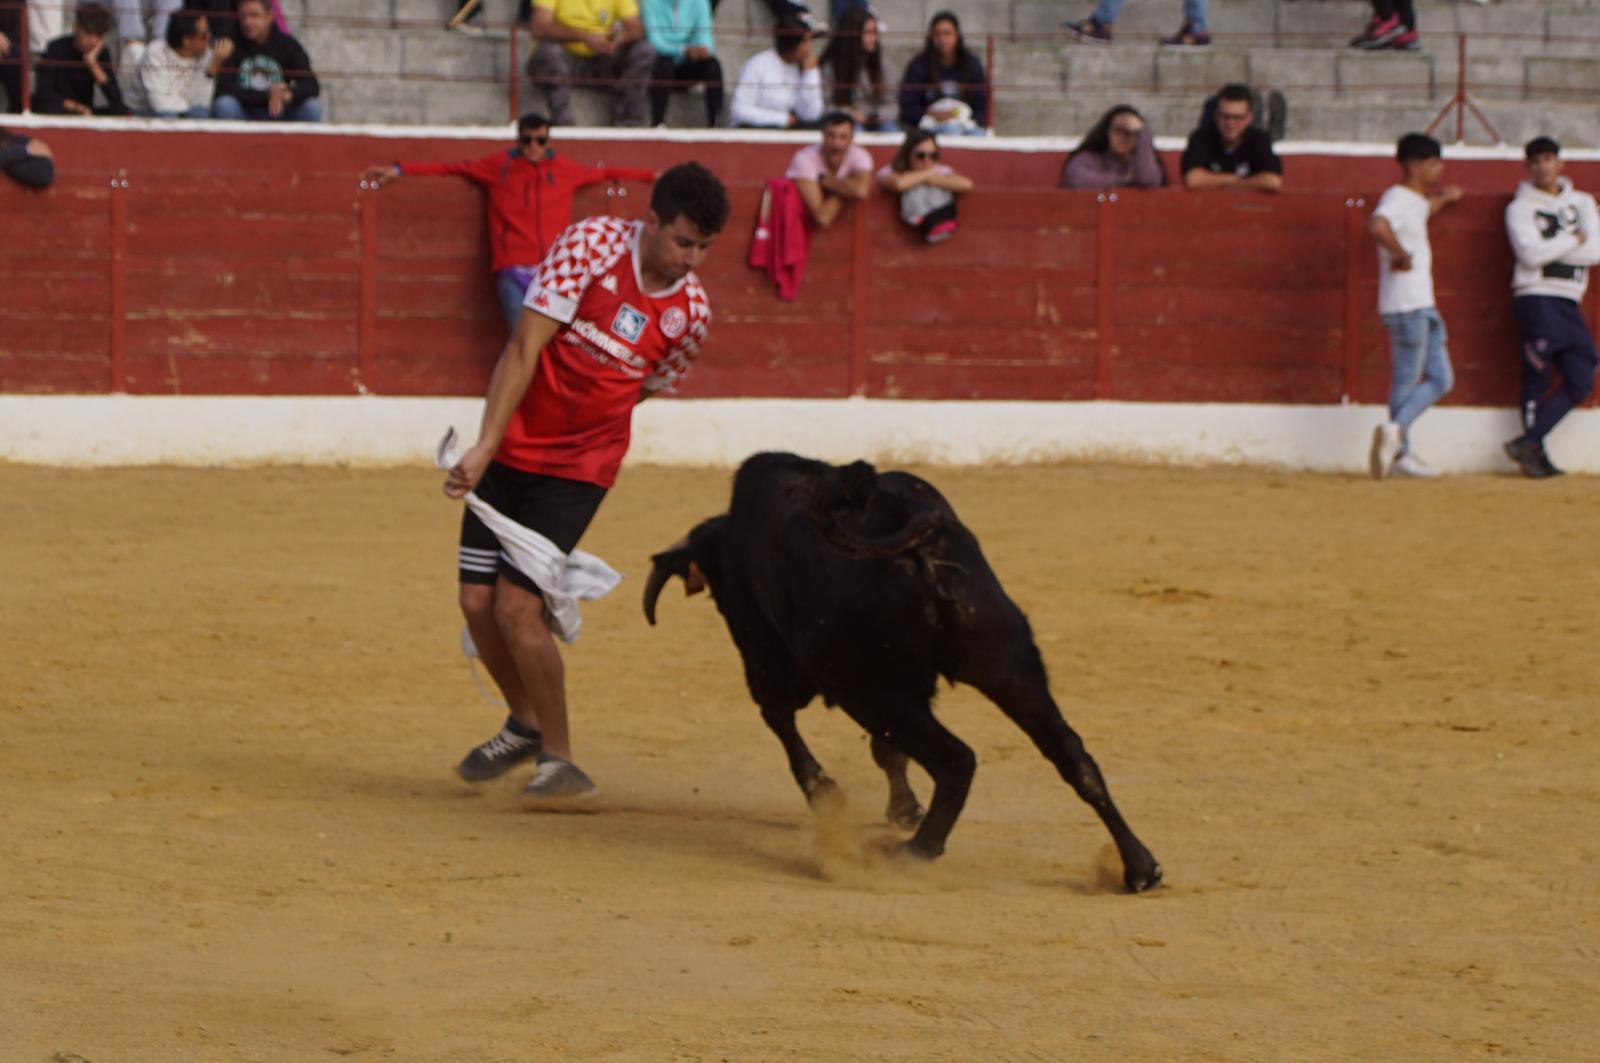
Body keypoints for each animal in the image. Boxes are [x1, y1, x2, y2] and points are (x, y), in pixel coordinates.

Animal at [646, 451, 1164, 890]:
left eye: (718, 592)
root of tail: (913, 531)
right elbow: (887, 751)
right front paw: (903, 808)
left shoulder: (771, 660)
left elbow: (785, 724)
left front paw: (833, 799)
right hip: (1007, 664)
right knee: (1071, 753)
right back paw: (1140, 867)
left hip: (868, 688)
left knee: (956, 759)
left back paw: (912, 853)